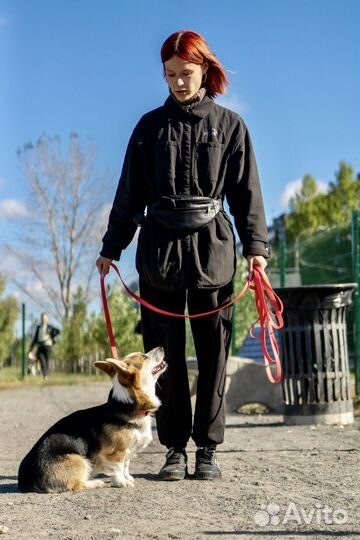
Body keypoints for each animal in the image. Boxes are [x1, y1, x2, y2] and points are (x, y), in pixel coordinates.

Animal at [17, 346, 167, 494]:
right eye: (144, 357)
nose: (161, 347)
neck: (127, 405)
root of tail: (26, 481)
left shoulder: (127, 451)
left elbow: (126, 465)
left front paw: (128, 477)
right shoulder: (115, 452)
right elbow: (118, 468)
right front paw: (121, 482)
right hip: (80, 460)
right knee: (77, 485)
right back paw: (97, 483)